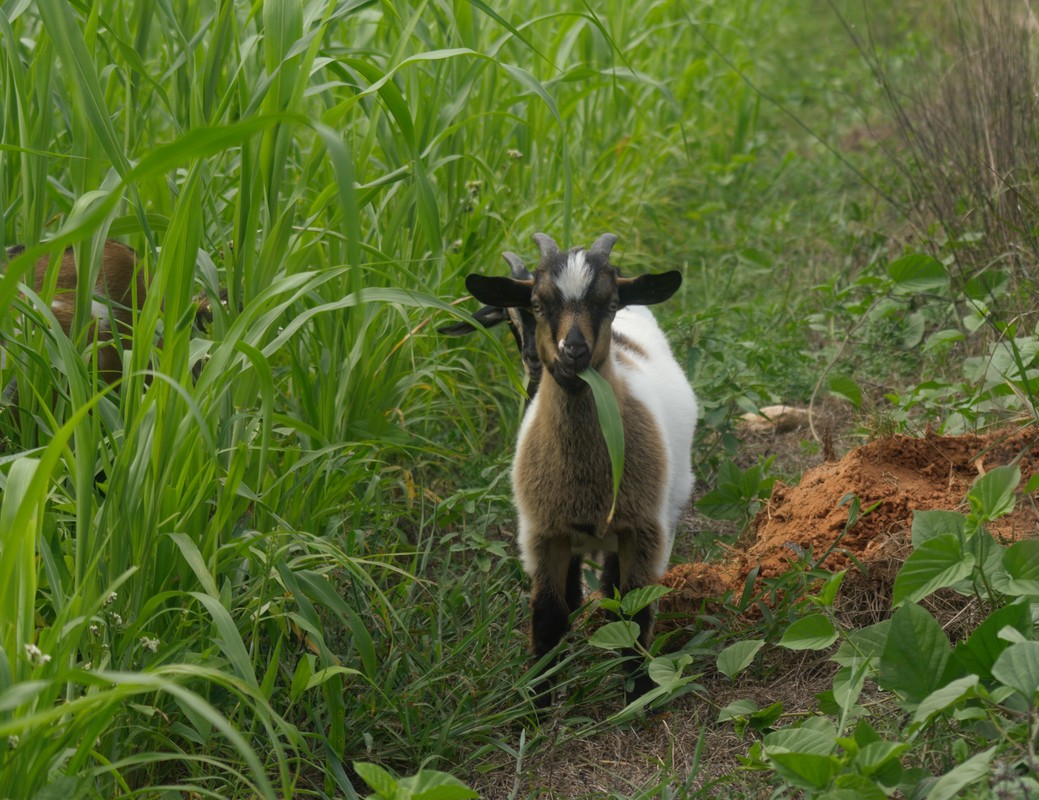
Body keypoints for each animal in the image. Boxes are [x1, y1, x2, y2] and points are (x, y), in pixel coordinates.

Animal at [465, 232, 698, 706]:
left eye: (609, 303)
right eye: (537, 304)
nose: (572, 352)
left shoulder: (642, 528)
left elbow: (635, 608)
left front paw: (638, 696)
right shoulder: (543, 532)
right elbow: (549, 614)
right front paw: (536, 701)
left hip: (665, 506)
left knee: (615, 588)